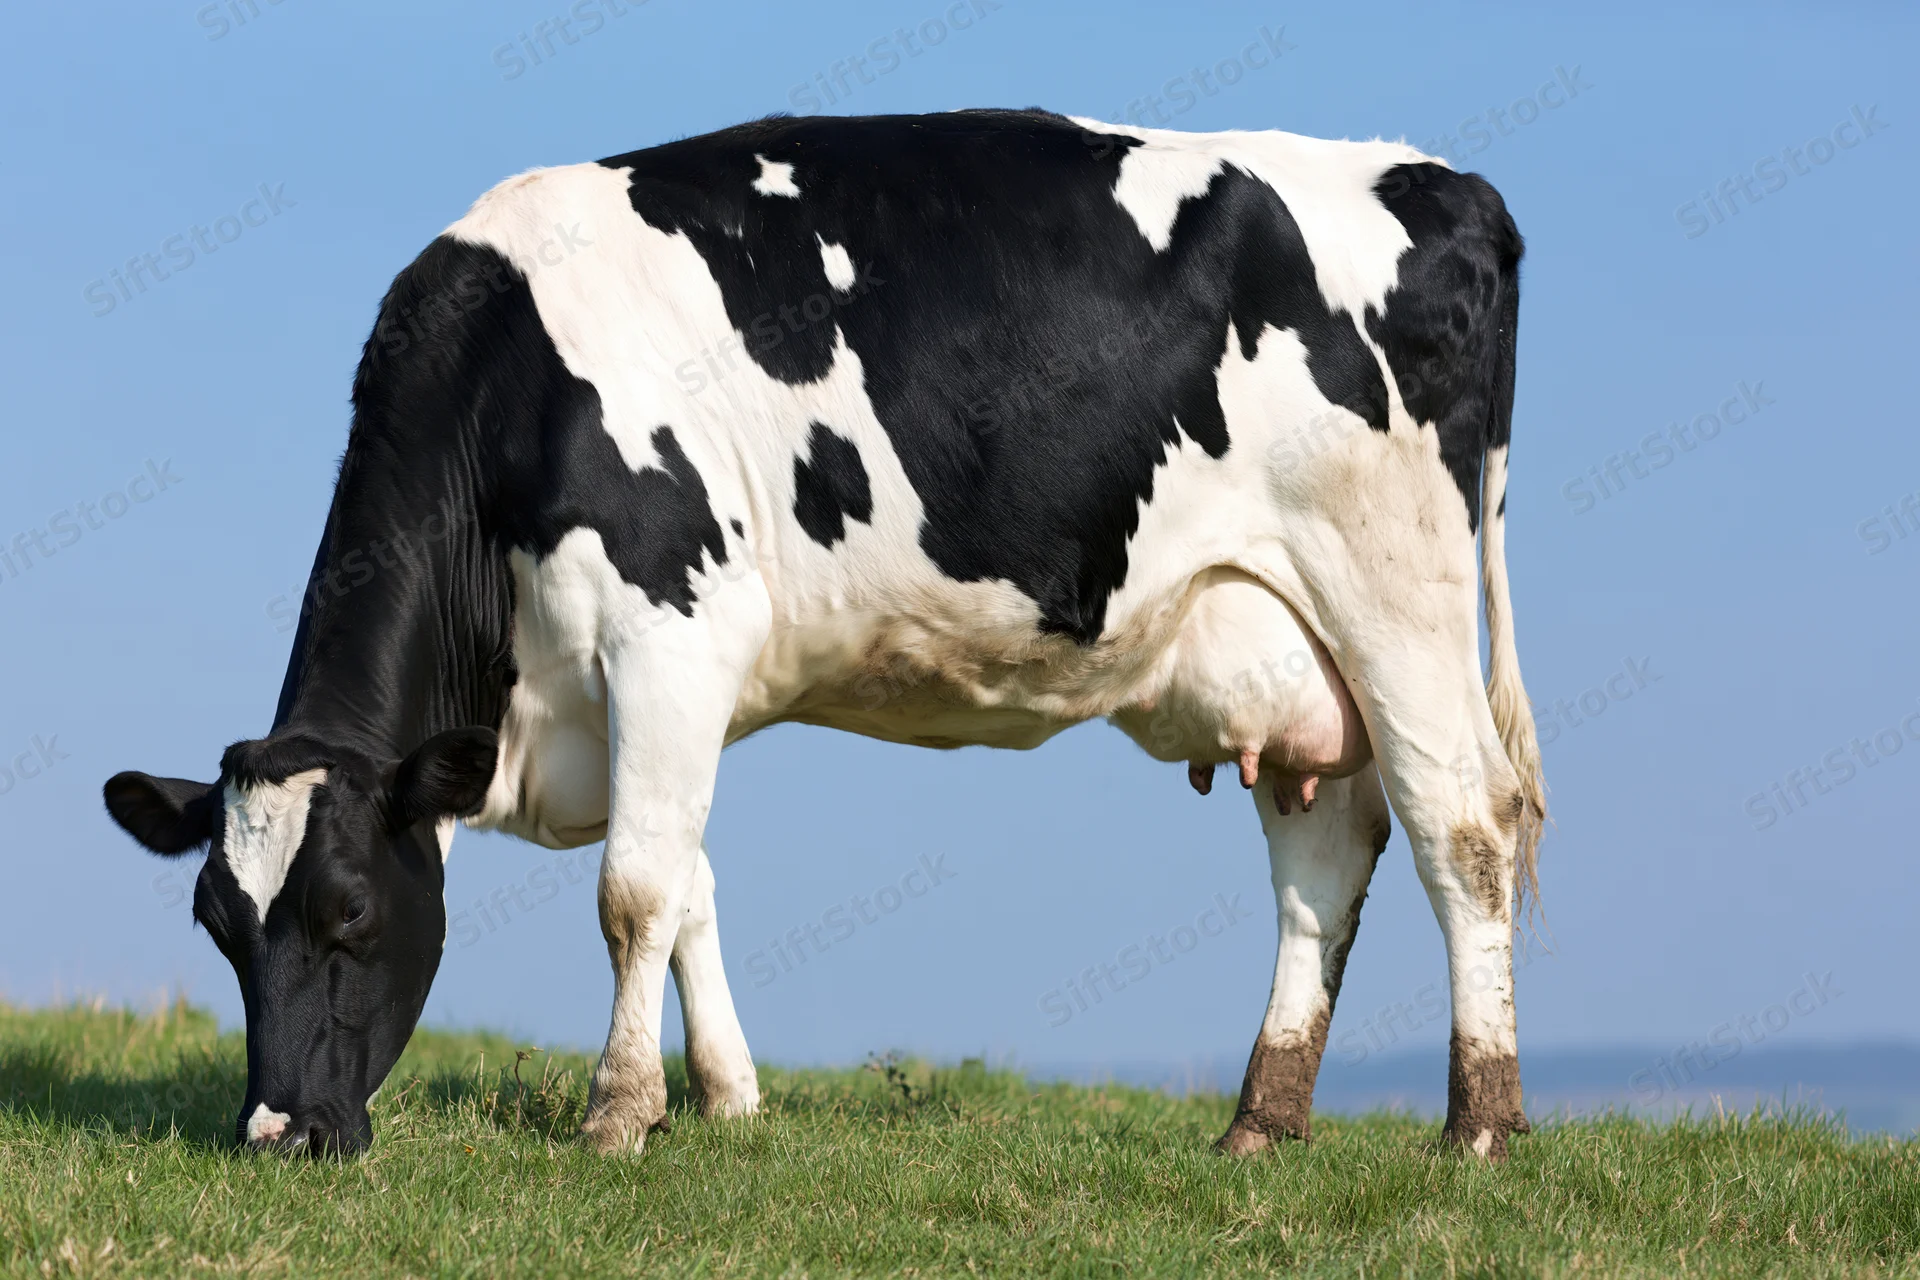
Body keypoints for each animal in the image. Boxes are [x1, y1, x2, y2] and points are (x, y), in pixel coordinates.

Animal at [103, 108, 1545, 1160]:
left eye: (348, 907)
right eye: (217, 924)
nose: (276, 1134)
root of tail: (1449, 183)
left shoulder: (672, 626)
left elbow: (634, 889)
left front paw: (618, 1116)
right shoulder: (652, 689)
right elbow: (688, 881)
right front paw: (729, 1101)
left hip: (1398, 592)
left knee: (1464, 828)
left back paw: (1477, 1129)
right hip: (1291, 639)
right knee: (1327, 851)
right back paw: (1262, 1120)